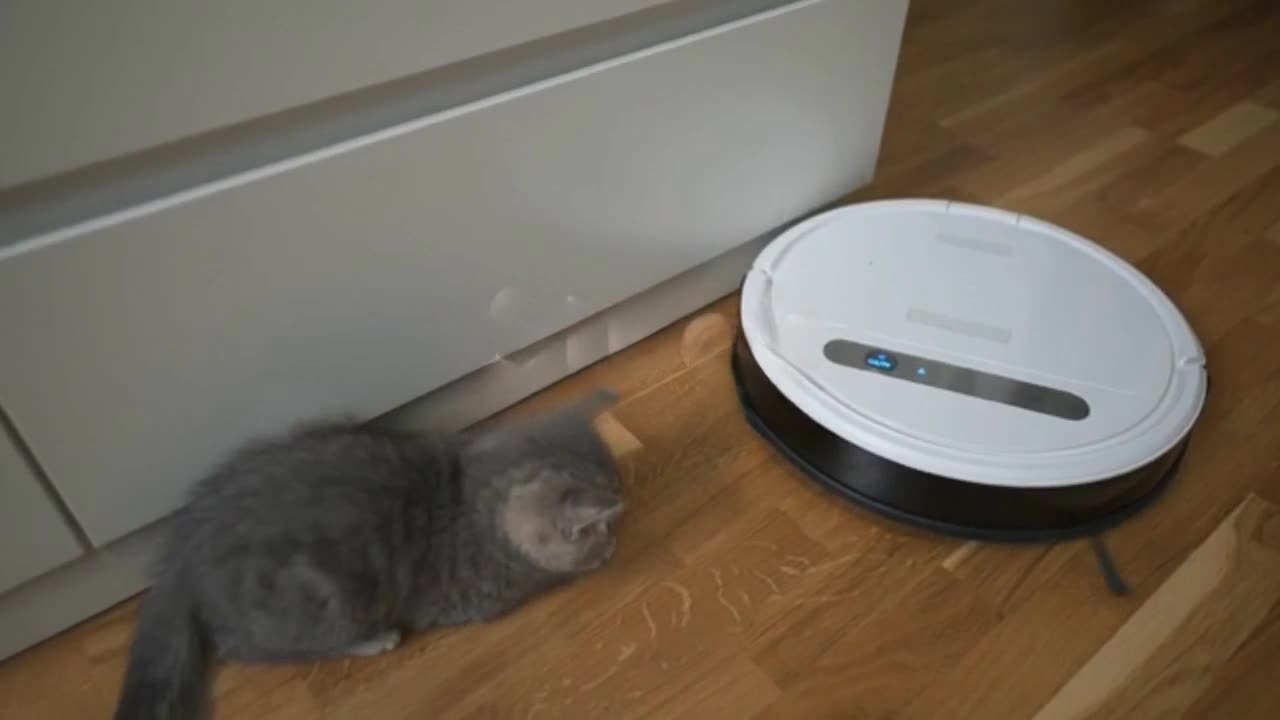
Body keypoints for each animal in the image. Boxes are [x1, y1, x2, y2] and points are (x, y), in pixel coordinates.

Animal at [112, 392, 622, 717]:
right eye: (605, 528)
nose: (614, 536)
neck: (475, 494)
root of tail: (184, 546)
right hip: (320, 602)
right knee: (247, 646)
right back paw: (373, 640)